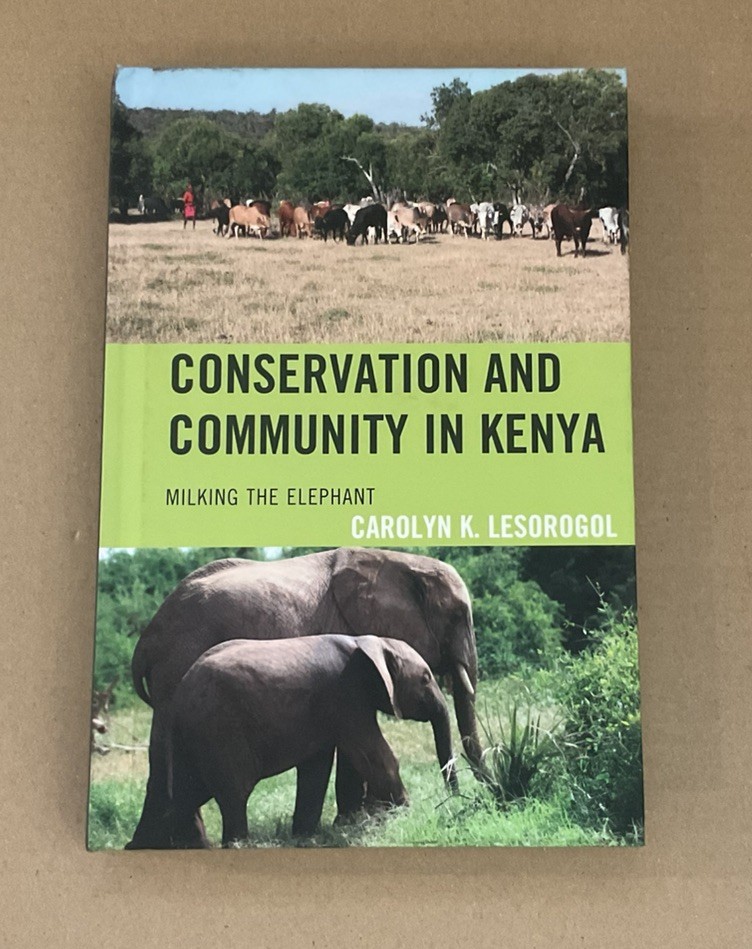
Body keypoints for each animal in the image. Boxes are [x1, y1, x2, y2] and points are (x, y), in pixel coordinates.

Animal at [167, 635, 456, 847]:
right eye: (426, 679)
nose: (451, 798)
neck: (366, 641)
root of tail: (180, 691)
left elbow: (317, 768)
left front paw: (306, 838)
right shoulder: (347, 695)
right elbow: (375, 756)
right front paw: (408, 814)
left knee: (181, 797)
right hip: (220, 731)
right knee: (233, 796)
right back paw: (237, 845)